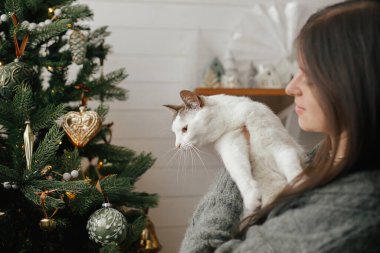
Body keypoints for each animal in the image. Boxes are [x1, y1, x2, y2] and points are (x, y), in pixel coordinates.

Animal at [165, 90, 304, 211]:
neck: (233, 119)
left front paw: (299, 181)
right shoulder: (231, 146)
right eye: (175, 133)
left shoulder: (279, 145)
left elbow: (290, 164)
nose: (177, 145)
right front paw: (252, 198)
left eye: (185, 129)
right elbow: (240, 172)